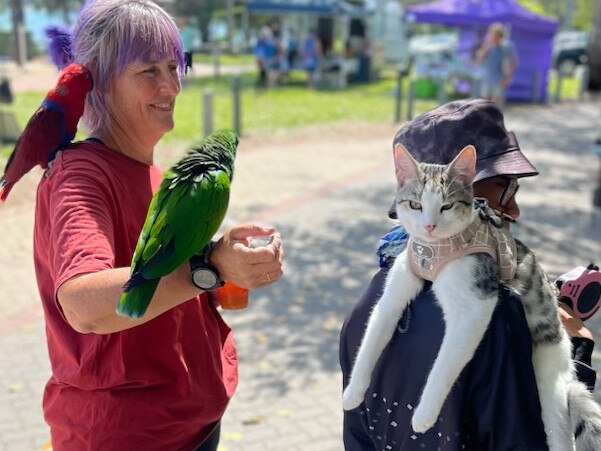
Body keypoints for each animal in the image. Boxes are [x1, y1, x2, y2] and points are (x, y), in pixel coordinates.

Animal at [342, 145, 600, 451]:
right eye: (415, 205)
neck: (433, 251)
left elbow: (444, 365)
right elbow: (373, 335)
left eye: (447, 206)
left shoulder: (476, 305)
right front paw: (353, 392)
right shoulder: (395, 291)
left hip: (550, 382)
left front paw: (424, 415)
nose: (428, 226)